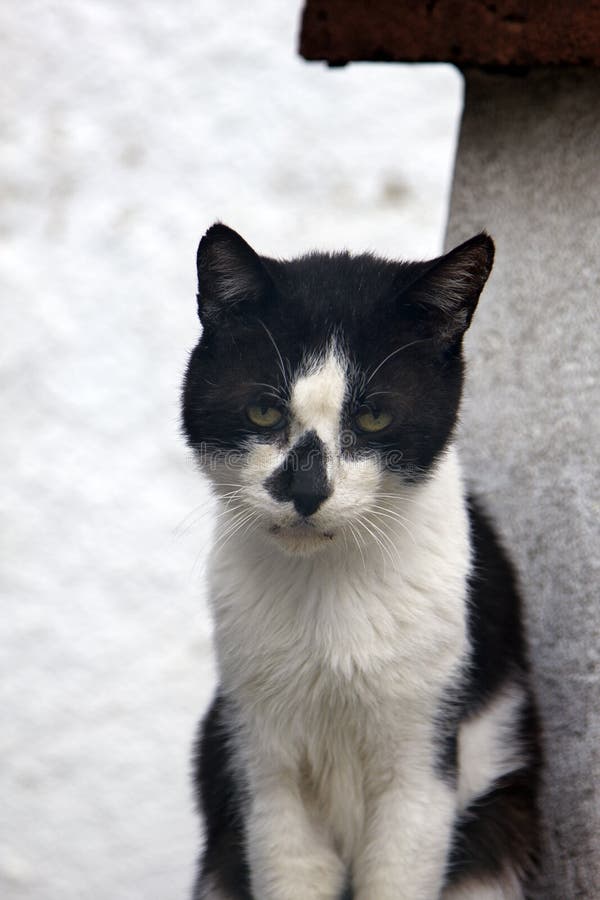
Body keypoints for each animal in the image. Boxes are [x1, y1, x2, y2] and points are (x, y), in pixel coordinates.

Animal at [180, 225, 540, 900]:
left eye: (374, 415)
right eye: (263, 411)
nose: (305, 489)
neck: (329, 591)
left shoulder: (422, 763)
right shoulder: (263, 763)